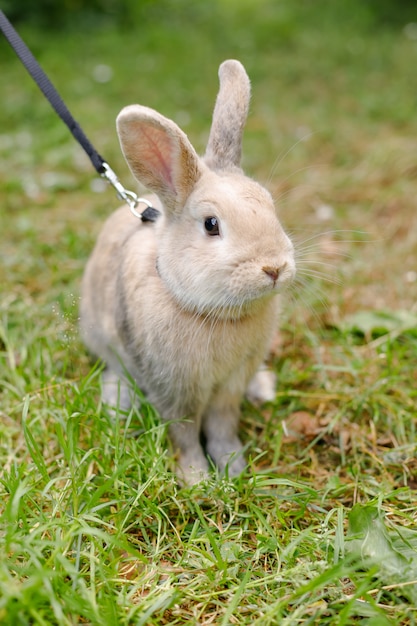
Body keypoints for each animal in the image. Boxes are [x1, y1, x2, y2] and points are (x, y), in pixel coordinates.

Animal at [80, 59, 296, 482]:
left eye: (269, 204)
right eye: (211, 224)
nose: (275, 267)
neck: (215, 314)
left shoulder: (230, 386)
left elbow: (223, 425)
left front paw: (232, 467)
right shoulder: (175, 390)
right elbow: (184, 433)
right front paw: (197, 479)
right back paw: (118, 403)